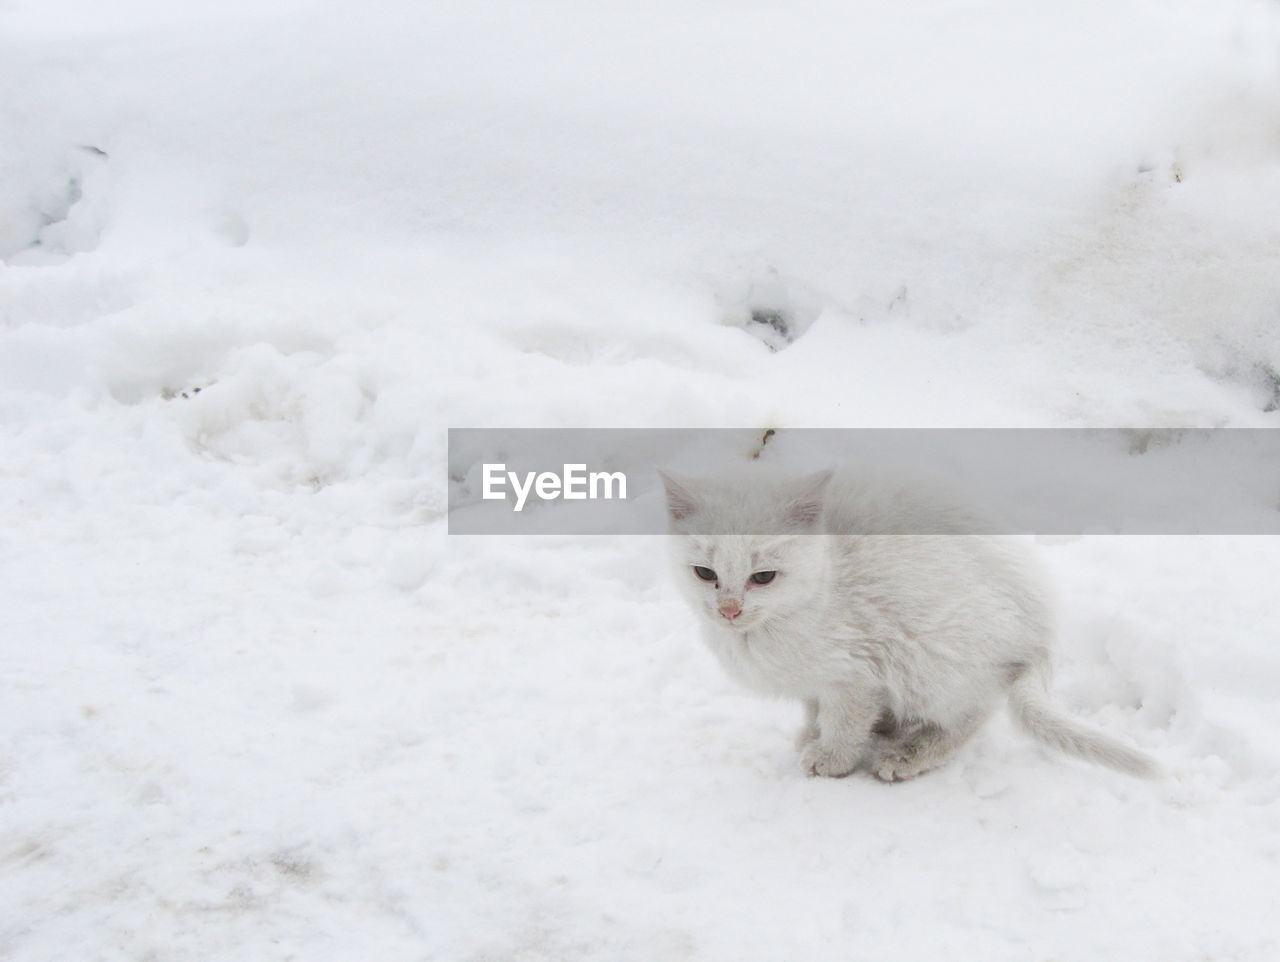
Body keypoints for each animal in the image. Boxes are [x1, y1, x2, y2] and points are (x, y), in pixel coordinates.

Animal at [660, 465, 1162, 782]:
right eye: (704, 573)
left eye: (763, 577)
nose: (729, 609)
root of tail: (1043, 631)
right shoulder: (821, 678)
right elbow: (812, 704)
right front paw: (810, 733)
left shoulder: (855, 668)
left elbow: (845, 719)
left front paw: (831, 757)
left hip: (932, 647)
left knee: (973, 710)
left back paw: (908, 754)